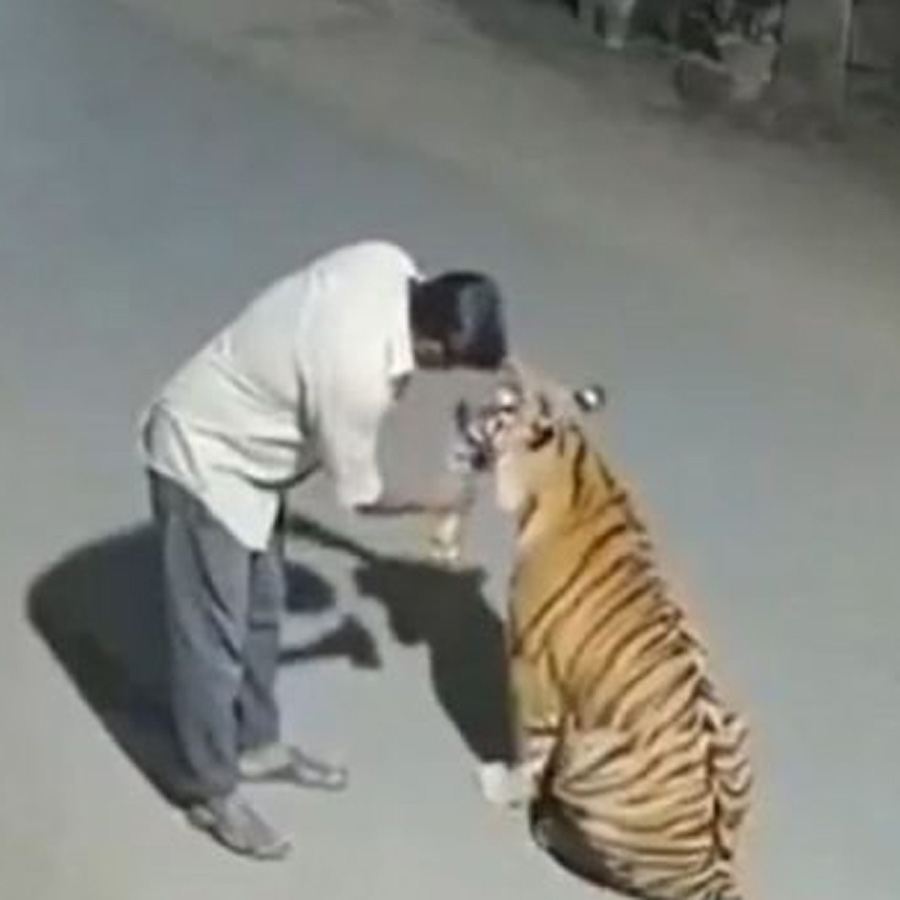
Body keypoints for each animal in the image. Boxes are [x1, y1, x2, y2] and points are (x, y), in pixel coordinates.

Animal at [428, 362, 753, 900]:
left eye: (499, 408)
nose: (459, 408)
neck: (572, 462)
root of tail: (715, 874)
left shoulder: (532, 674)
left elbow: (528, 751)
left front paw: (503, 786)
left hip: (588, 752)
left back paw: (551, 828)